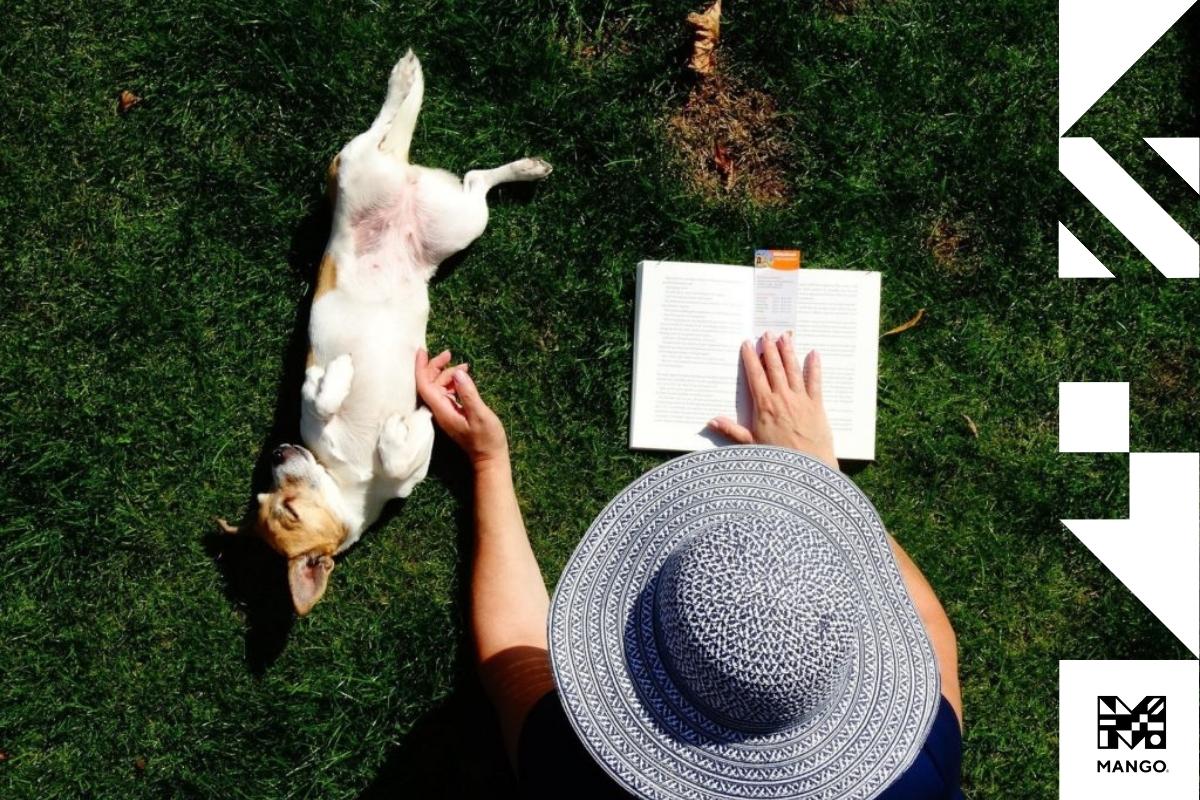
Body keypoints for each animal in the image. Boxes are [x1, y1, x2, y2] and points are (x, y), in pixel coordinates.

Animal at [219, 50, 549, 614]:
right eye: (265, 496)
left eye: (287, 508)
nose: (278, 451)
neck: (355, 482)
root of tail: (401, 174)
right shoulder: (406, 473)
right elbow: (404, 450)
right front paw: (403, 425)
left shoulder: (320, 420)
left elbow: (320, 395)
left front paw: (337, 379)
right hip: (460, 218)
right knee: (469, 175)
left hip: (369, 171)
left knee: (389, 132)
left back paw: (408, 81)